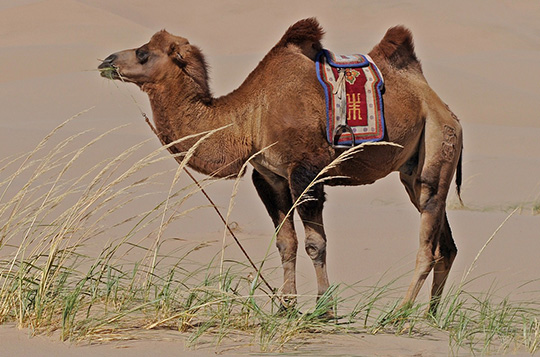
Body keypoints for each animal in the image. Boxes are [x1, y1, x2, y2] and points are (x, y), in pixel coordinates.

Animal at [98, 18, 464, 312]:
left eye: (143, 53)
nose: (106, 61)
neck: (248, 118)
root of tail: (441, 105)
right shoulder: (269, 176)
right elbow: (285, 243)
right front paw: (286, 306)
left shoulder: (305, 172)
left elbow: (316, 244)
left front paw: (323, 309)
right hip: (414, 168)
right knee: (445, 244)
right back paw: (428, 317)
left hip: (439, 140)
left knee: (429, 240)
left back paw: (398, 316)